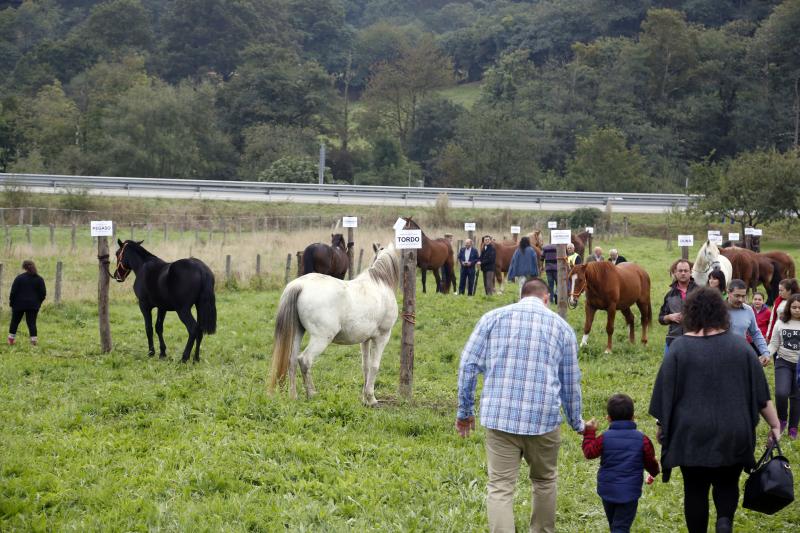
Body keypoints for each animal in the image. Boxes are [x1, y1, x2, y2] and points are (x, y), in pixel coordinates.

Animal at [268, 243, 400, 406]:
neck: (379, 283)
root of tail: (300, 285)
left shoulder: (365, 340)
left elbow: (366, 367)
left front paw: (365, 399)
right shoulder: (382, 337)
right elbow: (375, 366)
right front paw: (371, 398)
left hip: (298, 332)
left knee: (292, 361)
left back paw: (294, 396)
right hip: (322, 338)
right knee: (304, 360)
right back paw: (312, 394)